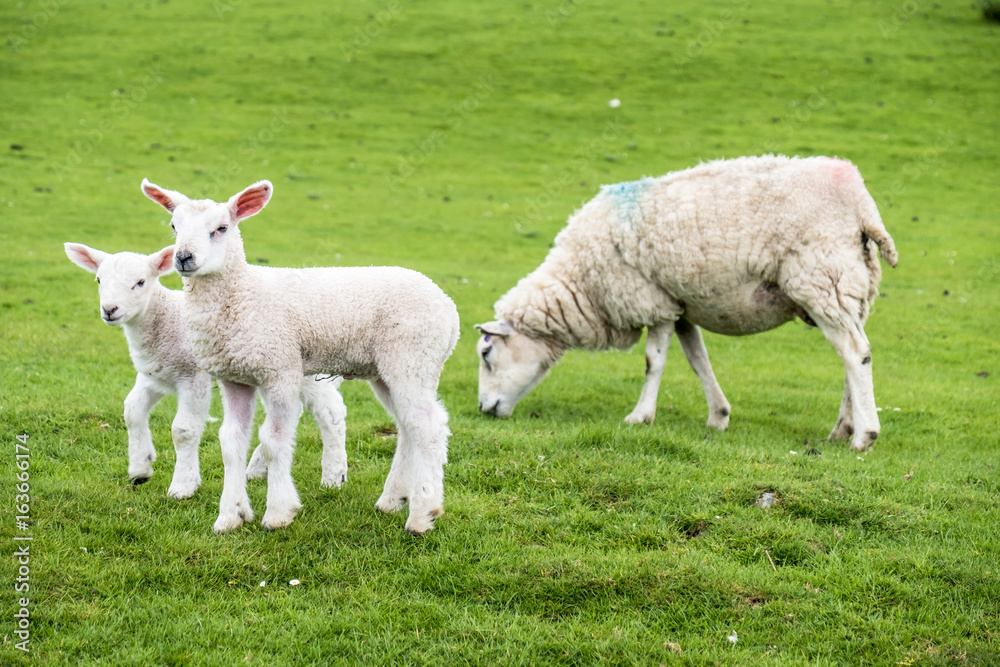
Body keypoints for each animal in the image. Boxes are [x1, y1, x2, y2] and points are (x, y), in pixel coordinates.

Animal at [64, 243, 349, 498]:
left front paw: (183, 485)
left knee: (330, 411)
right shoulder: (155, 375)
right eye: (99, 280)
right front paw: (140, 468)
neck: (165, 320)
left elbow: (183, 430)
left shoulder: (193, 376)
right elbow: (131, 410)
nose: (109, 310)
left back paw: (334, 476)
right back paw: (258, 469)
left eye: (141, 282)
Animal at [140, 179, 460, 534]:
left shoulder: (280, 370)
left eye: (221, 228)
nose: (184, 257)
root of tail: (448, 307)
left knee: (428, 427)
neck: (243, 294)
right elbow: (231, 442)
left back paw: (422, 513)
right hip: (386, 370)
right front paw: (230, 516)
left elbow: (273, 440)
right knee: (408, 426)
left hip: (412, 358)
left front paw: (278, 513)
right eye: (174, 226)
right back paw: (393, 499)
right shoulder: (235, 378)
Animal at [475, 155, 898, 452]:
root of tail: (861, 203)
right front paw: (718, 417)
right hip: (849, 286)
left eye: (486, 352)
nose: (483, 410)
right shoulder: (679, 306)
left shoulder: (651, 299)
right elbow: (698, 360)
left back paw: (864, 436)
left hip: (821, 278)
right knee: (853, 357)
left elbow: (654, 362)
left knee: (856, 353)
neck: (581, 281)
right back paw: (841, 430)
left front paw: (640, 416)